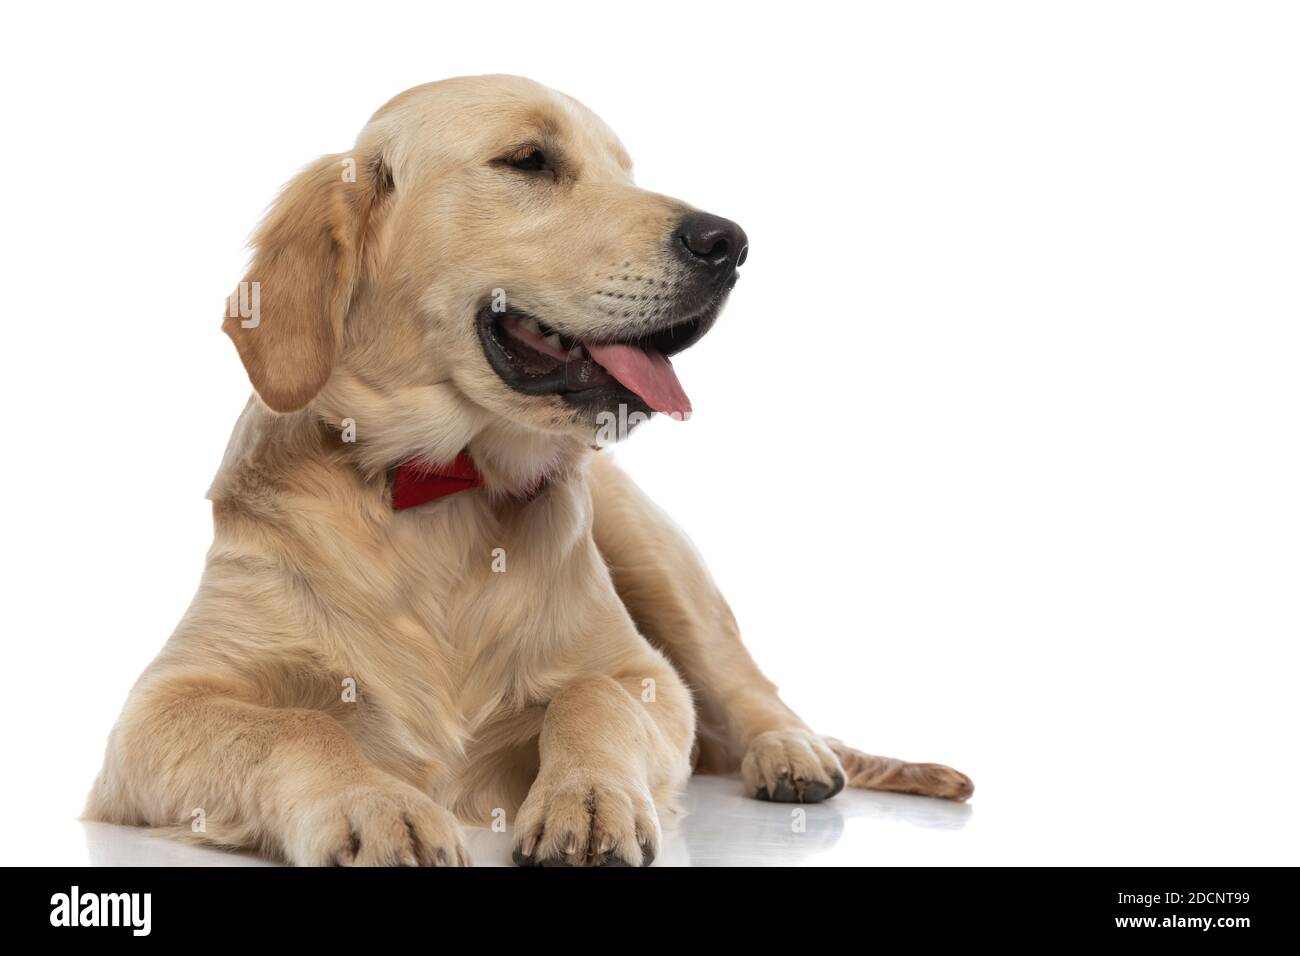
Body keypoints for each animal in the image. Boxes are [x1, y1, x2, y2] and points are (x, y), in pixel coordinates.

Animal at [86, 74, 972, 868]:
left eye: (625, 171)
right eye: (530, 161)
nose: (730, 242)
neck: (440, 486)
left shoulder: (647, 677)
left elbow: (592, 694)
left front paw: (588, 797)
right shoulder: (154, 714)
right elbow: (302, 725)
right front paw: (371, 804)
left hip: (656, 556)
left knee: (749, 685)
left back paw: (790, 752)